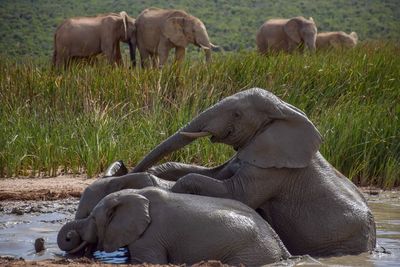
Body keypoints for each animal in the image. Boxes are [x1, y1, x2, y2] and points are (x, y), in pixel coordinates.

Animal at [57, 187, 290, 266]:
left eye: (92, 218)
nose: (70, 235)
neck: (134, 193)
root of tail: (277, 240)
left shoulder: (150, 237)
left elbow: (148, 261)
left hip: (251, 253)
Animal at [130, 88, 376, 258]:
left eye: (237, 114)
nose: (126, 166)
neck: (284, 110)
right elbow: (211, 173)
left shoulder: (275, 170)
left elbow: (235, 194)